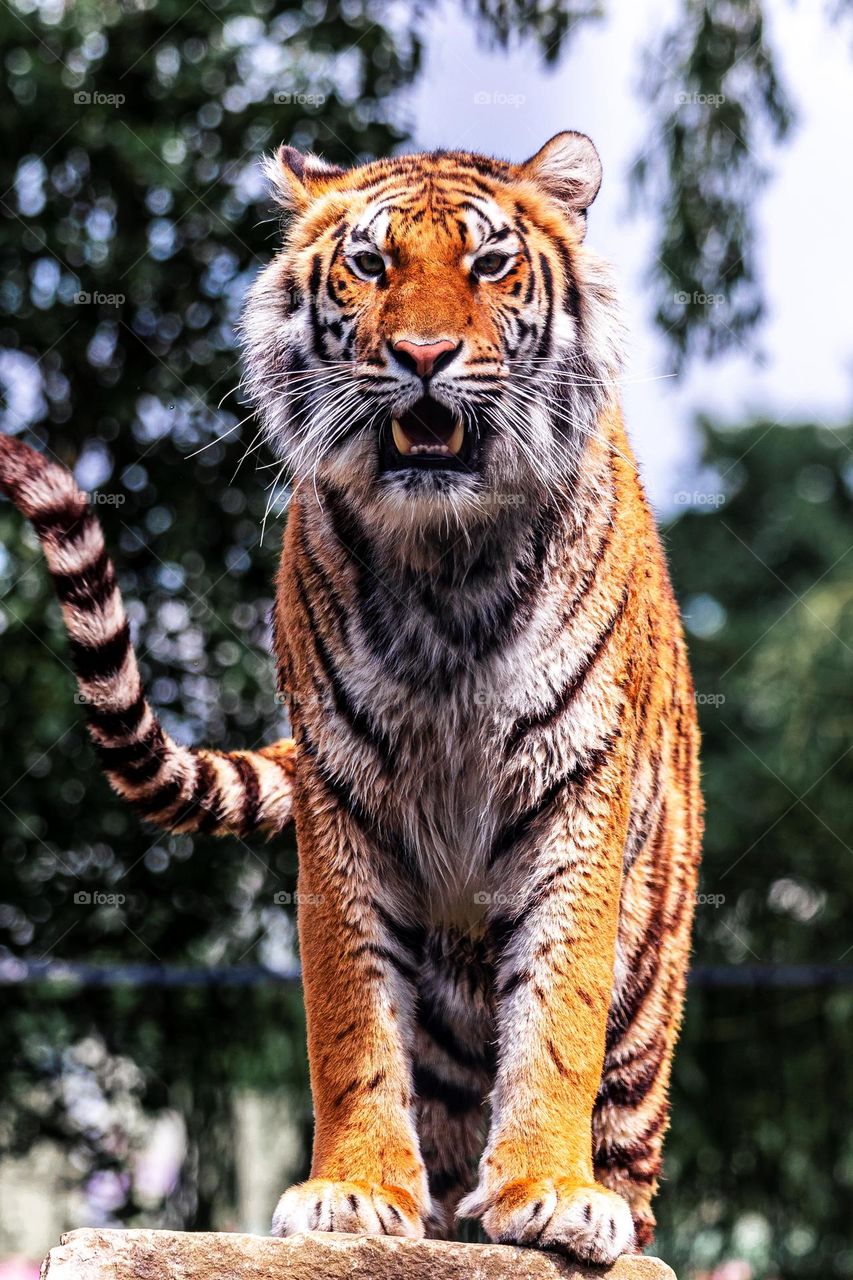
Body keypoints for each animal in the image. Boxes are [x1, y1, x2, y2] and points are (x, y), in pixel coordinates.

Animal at [0, 129, 701, 1259]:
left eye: (489, 264)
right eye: (370, 266)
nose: (421, 355)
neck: (450, 559)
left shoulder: (575, 790)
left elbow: (558, 1009)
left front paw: (551, 1189)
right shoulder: (345, 798)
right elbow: (350, 1018)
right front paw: (354, 1191)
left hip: (649, 992)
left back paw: (602, 1213)